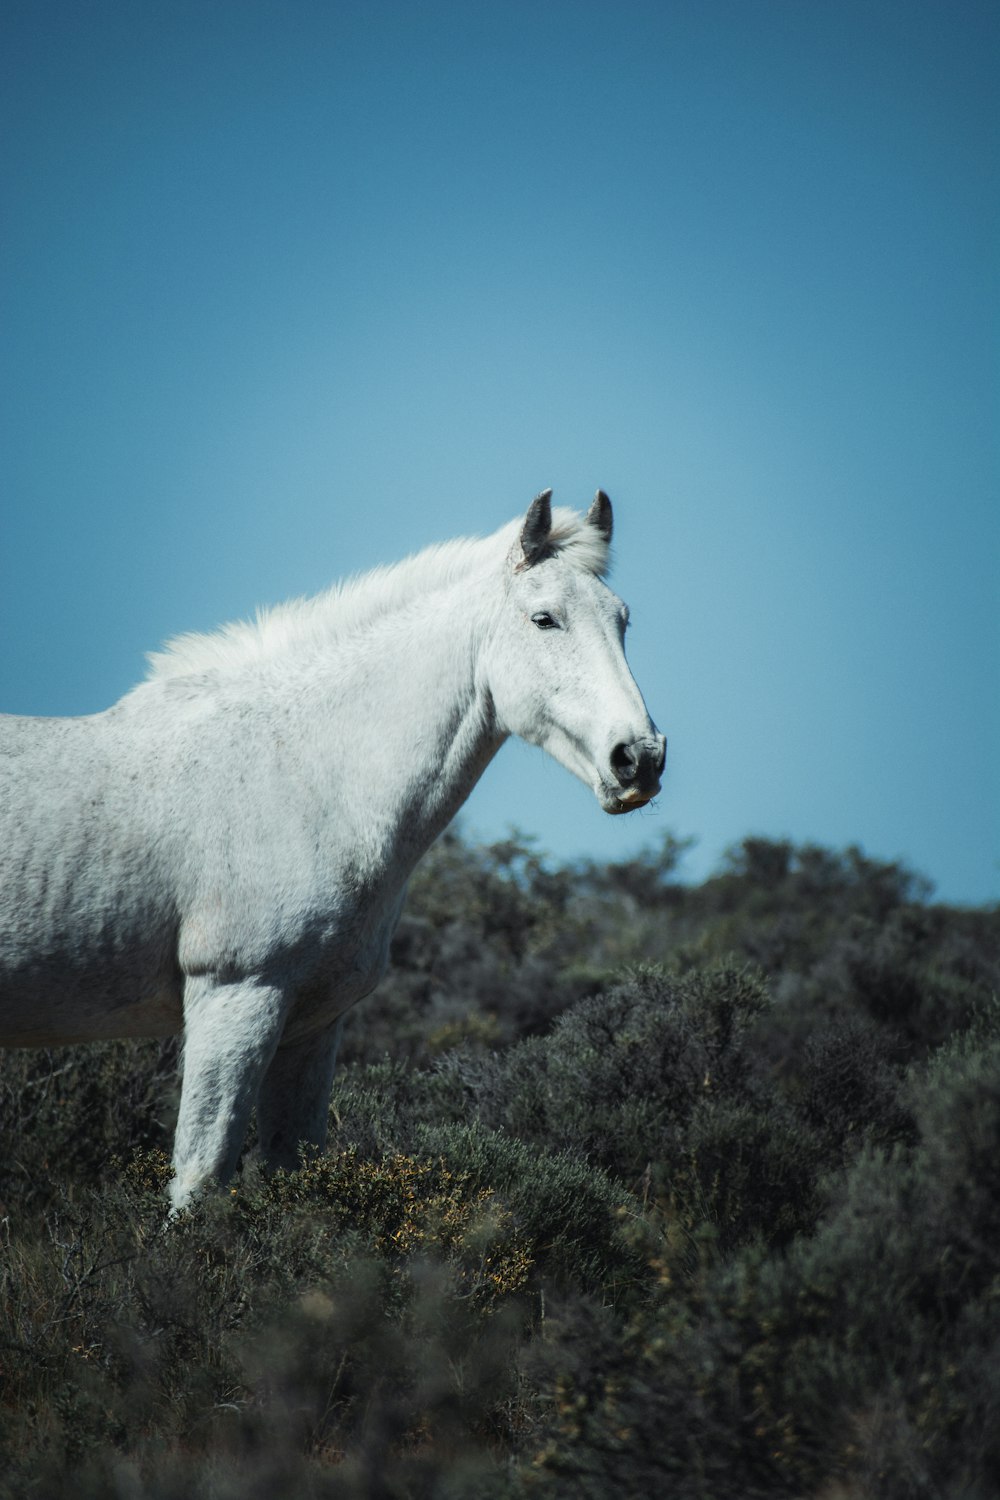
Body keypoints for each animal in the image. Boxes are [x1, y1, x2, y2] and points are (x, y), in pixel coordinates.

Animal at [1, 492, 665, 1206]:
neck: (306, 774)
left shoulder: (313, 1027)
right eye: (544, 619)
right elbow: (200, 1178)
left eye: (623, 619)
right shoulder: (234, 999)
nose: (639, 759)